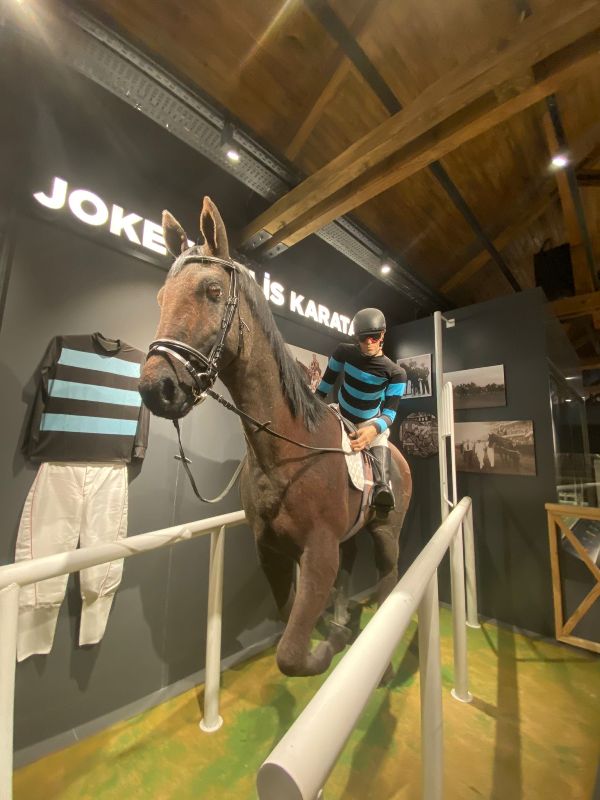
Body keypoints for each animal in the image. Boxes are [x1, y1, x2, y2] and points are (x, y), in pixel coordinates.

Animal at [139, 196, 412, 677]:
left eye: (213, 291)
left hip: (386, 534)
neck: (285, 452)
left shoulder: (319, 554)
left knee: (388, 579)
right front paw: (332, 628)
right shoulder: (271, 551)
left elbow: (291, 655)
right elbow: (288, 623)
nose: (158, 386)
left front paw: (331, 643)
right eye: (161, 297)